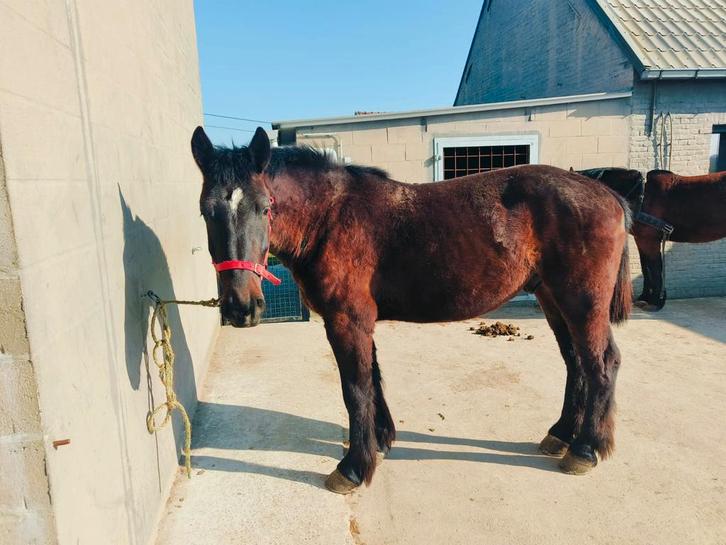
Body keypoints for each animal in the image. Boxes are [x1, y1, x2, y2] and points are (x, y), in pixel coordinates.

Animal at [191, 126, 632, 494]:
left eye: (265, 207)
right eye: (205, 212)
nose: (240, 308)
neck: (330, 218)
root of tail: (607, 194)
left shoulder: (346, 320)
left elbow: (355, 388)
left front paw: (354, 467)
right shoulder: (358, 321)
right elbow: (373, 379)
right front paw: (381, 440)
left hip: (582, 301)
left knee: (602, 362)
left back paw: (586, 449)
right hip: (553, 299)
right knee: (575, 362)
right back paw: (561, 435)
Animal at [579, 168, 726, 310]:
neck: (642, 195)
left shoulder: (649, 241)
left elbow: (654, 269)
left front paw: (656, 302)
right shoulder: (642, 240)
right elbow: (646, 268)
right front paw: (645, 297)